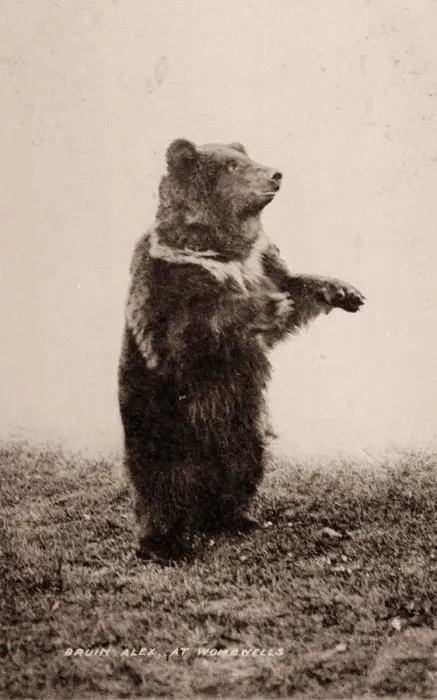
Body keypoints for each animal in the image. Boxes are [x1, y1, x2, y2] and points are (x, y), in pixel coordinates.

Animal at [118, 139, 365, 561]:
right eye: (231, 166)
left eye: (247, 157)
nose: (276, 174)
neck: (222, 249)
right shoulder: (163, 277)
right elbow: (183, 328)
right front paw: (266, 305)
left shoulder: (262, 262)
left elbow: (293, 287)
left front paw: (343, 290)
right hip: (159, 422)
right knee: (158, 483)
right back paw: (165, 542)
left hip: (243, 427)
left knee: (242, 468)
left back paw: (234, 518)